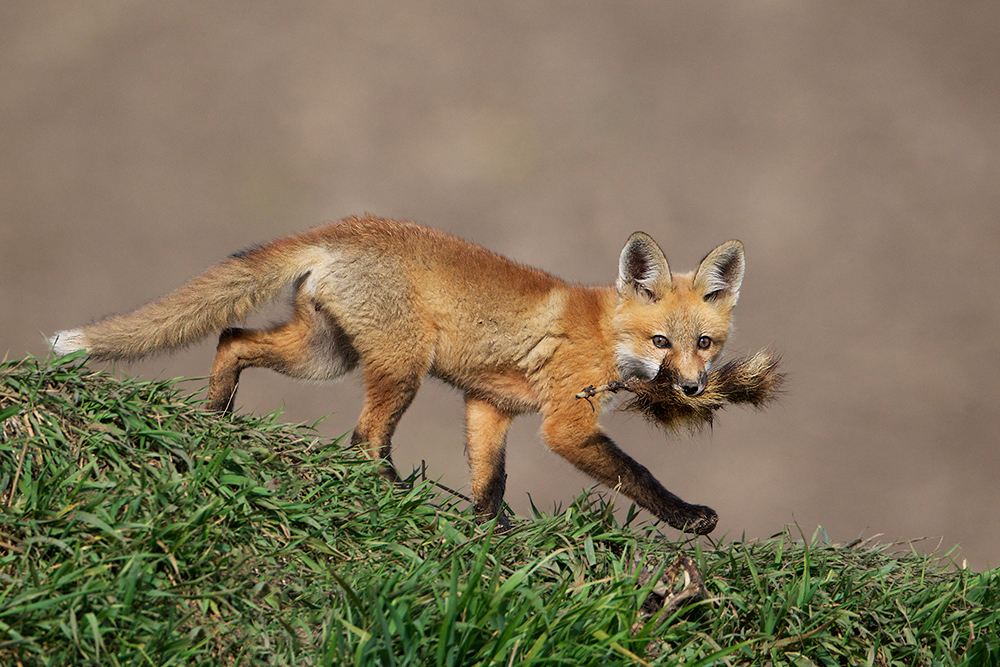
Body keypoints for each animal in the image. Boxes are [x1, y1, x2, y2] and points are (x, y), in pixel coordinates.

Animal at [50, 215, 745, 535]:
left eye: (705, 344)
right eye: (661, 341)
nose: (691, 388)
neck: (606, 331)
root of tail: (340, 227)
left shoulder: (489, 405)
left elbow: (490, 480)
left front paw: (492, 536)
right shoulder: (564, 424)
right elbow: (637, 474)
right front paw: (689, 518)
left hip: (323, 356)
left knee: (231, 339)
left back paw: (216, 416)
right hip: (400, 368)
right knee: (364, 441)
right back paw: (394, 494)